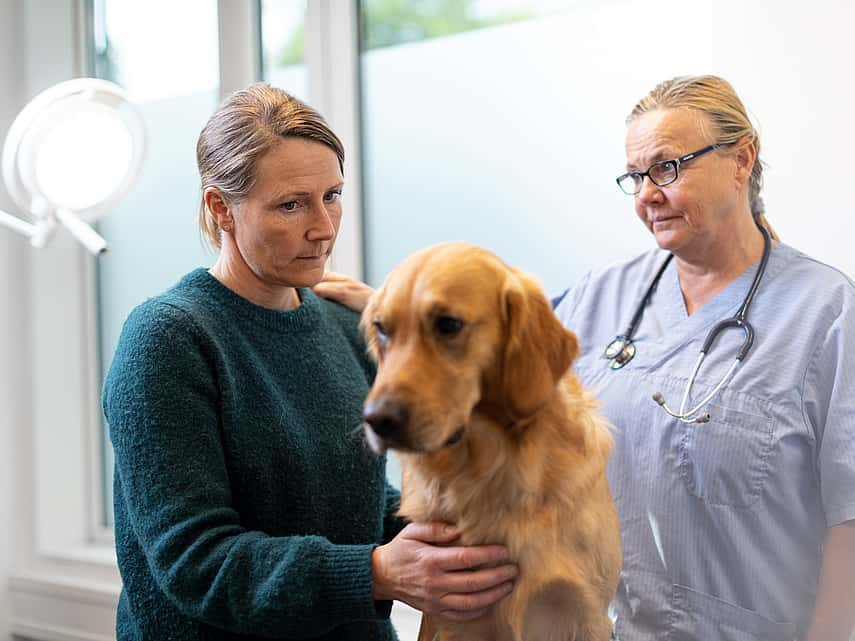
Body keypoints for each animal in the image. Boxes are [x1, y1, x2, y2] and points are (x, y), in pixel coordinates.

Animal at [362, 244, 620, 640]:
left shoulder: (586, 612)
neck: (495, 468)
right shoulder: (459, 619)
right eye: (382, 329)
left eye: (448, 324)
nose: (376, 419)